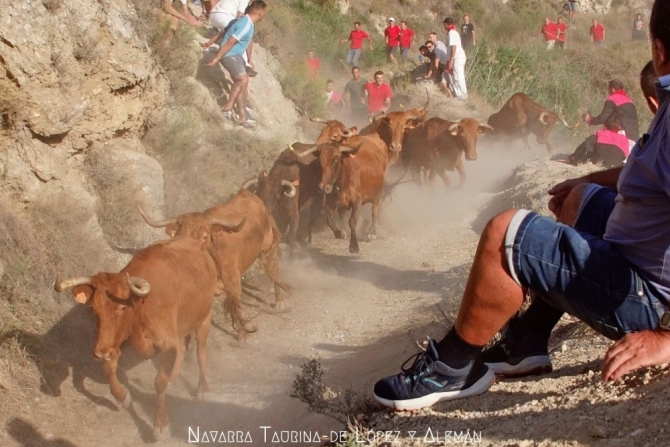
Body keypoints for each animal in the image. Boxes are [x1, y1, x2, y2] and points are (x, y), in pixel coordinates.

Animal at [54, 238, 222, 440]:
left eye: (122, 308)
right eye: (94, 308)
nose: (100, 352)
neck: (142, 304)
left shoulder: (167, 342)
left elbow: (159, 382)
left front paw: (160, 425)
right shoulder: (114, 342)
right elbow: (109, 371)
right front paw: (124, 397)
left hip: (205, 318)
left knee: (201, 353)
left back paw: (202, 389)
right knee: (182, 351)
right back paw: (174, 377)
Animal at [137, 189, 292, 340]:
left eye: (204, 236)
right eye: (179, 236)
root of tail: (249, 195)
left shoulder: (233, 280)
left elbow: (237, 307)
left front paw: (242, 335)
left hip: (267, 250)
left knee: (274, 272)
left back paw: (279, 303)